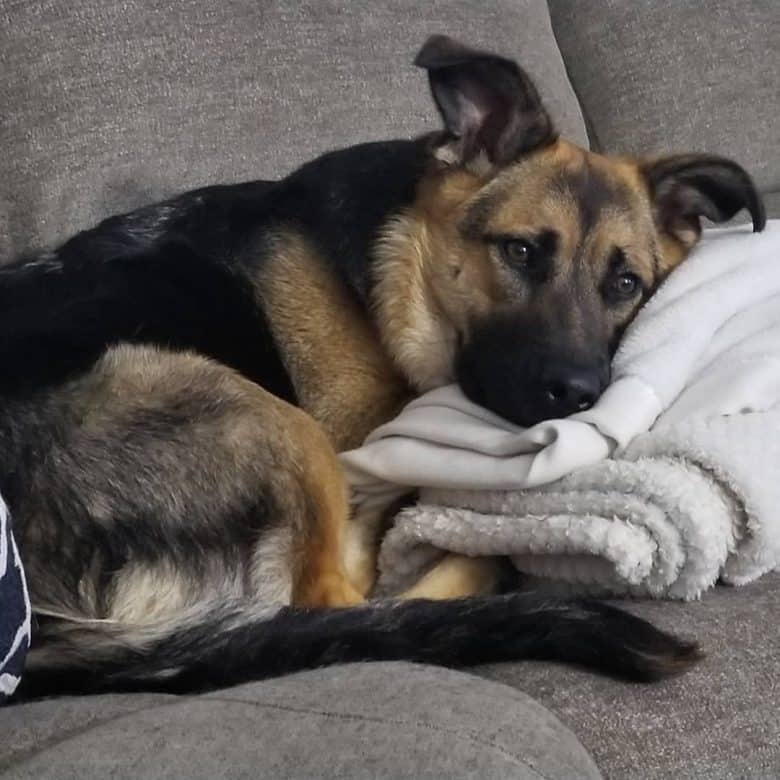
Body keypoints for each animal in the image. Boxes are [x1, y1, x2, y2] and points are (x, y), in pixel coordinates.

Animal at [1, 33, 760, 696]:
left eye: (626, 284)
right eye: (520, 252)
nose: (579, 394)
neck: (401, 259)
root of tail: (44, 638)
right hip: (255, 413)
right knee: (347, 600)